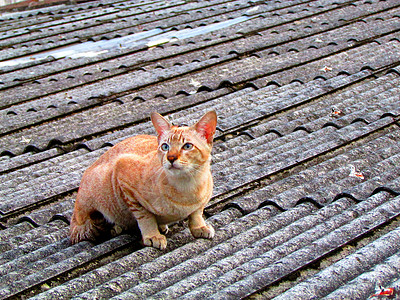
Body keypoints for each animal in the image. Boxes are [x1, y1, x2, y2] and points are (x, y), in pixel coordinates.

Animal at [70, 111, 217, 250]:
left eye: (187, 146)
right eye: (165, 147)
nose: (170, 158)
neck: (187, 187)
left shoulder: (201, 202)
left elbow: (197, 213)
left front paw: (199, 227)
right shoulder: (122, 174)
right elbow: (144, 216)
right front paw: (152, 235)